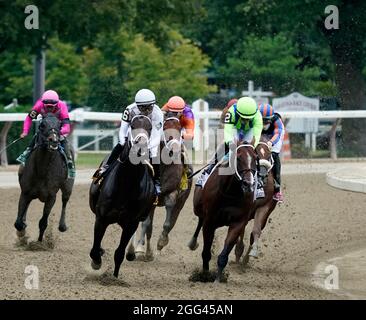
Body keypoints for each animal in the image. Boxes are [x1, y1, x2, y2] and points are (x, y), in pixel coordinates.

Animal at [90, 114, 157, 278]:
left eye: (150, 127)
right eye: (132, 125)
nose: (141, 146)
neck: (126, 183)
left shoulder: (131, 223)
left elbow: (119, 253)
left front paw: (114, 277)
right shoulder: (101, 217)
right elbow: (94, 249)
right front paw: (96, 262)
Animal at [133, 111, 193, 258]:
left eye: (180, 129)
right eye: (164, 127)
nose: (175, 149)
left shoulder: (173, 193)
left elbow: (167, 221)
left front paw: (161, 241)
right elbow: (146, 224)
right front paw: (139, 248)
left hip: (181, 202)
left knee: (173, 220)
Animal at [189, 141, 258, 282]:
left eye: (255, 158)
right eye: (238, 158)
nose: (248, 184)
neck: (231, 192)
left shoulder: (238, 223)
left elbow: (224, 254)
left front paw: (218, 279)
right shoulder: (209, 221)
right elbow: (206, 252)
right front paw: (204, 275)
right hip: (198, 208)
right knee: (200, 220)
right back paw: (192, 242)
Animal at [234, 134, 278, 266]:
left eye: (269, 155)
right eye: (257, 155)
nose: (263, 175)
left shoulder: (264, 207)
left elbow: (256, 231)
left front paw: (252, 253)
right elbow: (241, 230)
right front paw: (238, 251)